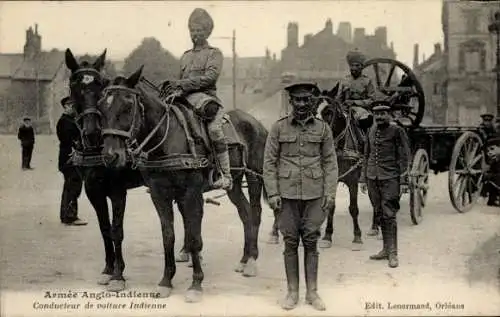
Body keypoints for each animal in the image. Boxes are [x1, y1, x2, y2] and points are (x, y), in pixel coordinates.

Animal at [64, 48, 146, 292]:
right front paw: (109, 269)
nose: (91, 132)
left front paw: (118, 275)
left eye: (99, 86)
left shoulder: (118, 191)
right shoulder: (94, 191)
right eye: (75, 86)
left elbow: (117, 230)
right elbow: (104, 228)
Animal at [96, 66, 270, 302]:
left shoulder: (191, 195)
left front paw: (196, 284)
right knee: (245, 213)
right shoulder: (159, 195)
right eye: (101, 107)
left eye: (128, 105)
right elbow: (168, 236)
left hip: (254, 178)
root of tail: (256, 122)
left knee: (255, 213)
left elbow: (195, 238)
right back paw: (244, 260)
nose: (111, 156)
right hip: (233, 184)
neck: (167, 138)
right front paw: (166, 281)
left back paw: (252, 261)